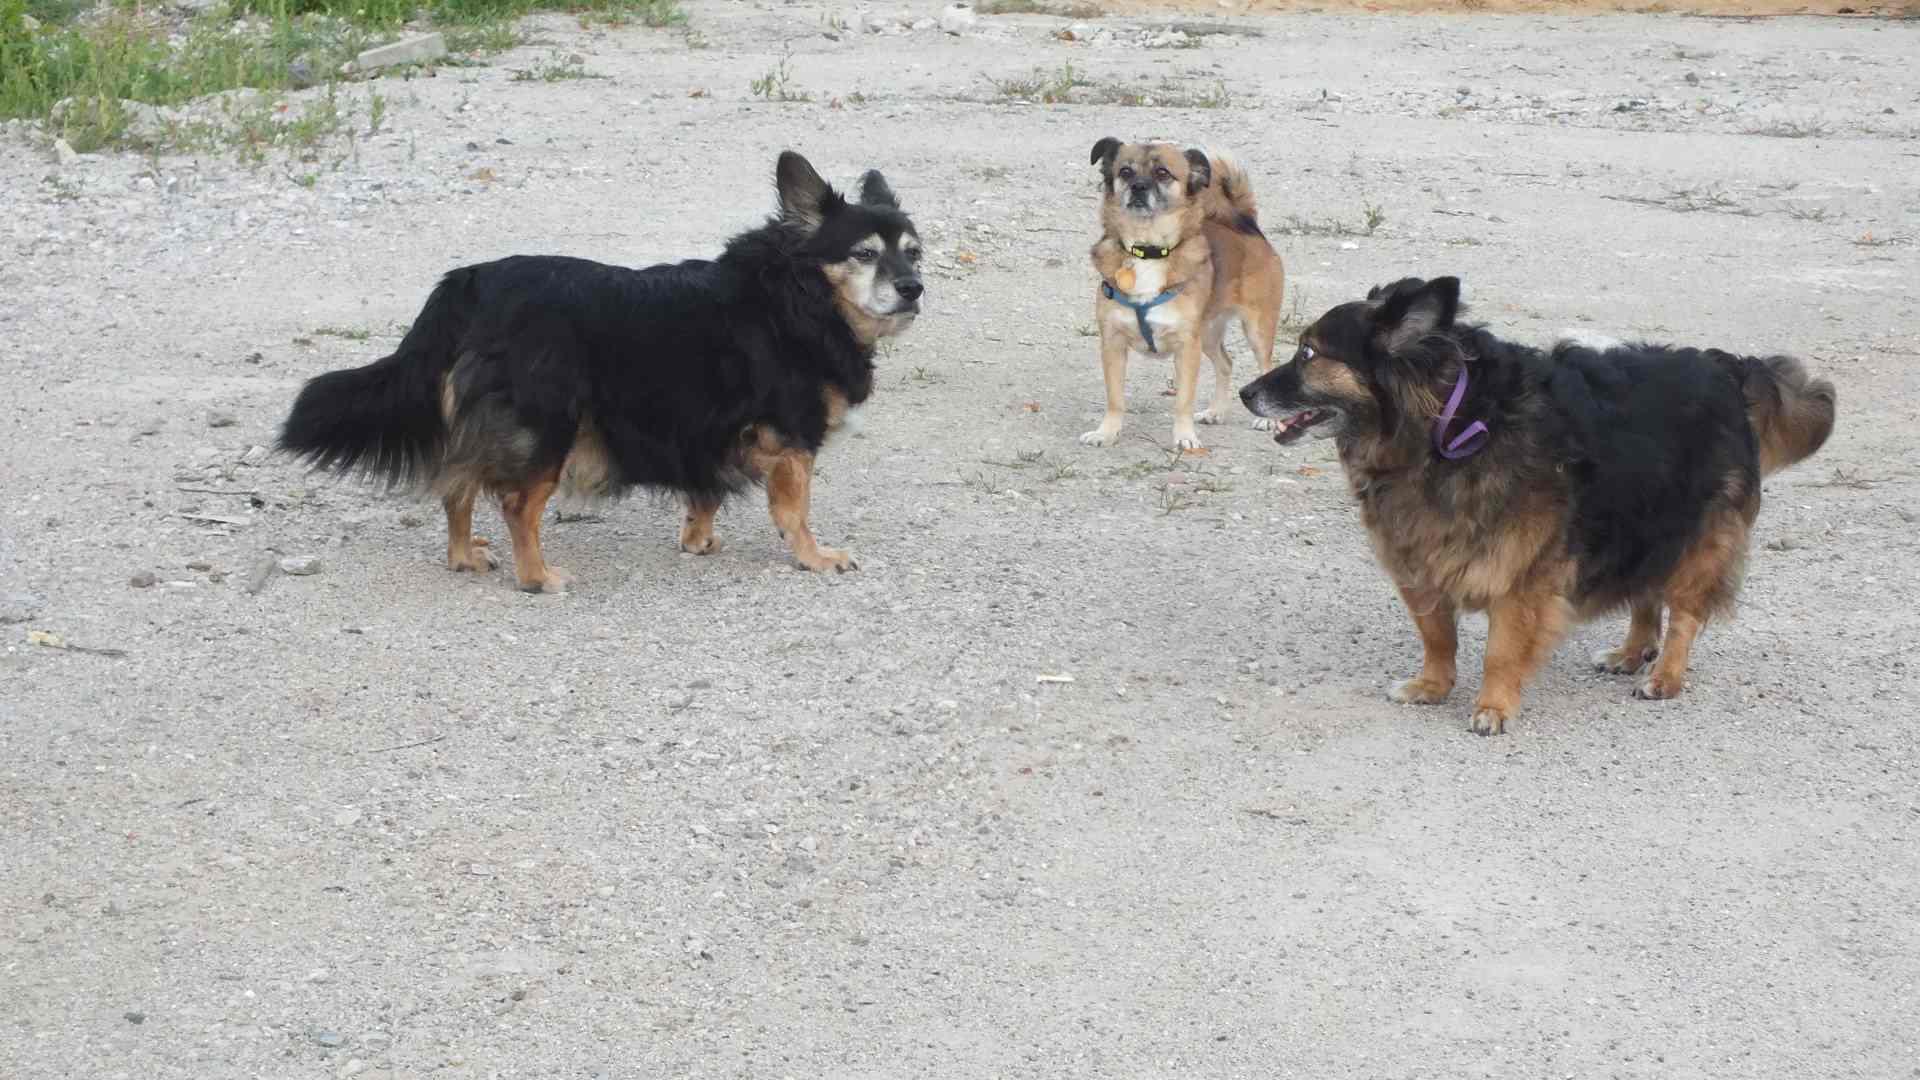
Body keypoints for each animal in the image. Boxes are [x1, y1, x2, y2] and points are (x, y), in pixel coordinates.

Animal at [278, 151, 922, 591]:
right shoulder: (790, 441)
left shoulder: (703, 427)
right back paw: (537, 577)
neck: (798, 297)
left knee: (456, 485)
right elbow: (794, 512)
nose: (914, 288)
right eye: (865, 254)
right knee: (515, 504)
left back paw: (463, 557)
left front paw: (697, 540)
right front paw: (815, 556)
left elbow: (705, 493)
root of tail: (470, 283)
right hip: (549, 425)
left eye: (914, 252)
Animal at [1082, 138, 1285, 451]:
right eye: (1125, 171)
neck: (1147, 250)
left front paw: (1185, 437)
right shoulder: (1113, 344)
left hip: (1256, 330)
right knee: (1226, 363)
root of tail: (1248, 224)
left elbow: (1183, 401)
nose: (1138, 187)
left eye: (1163, 173)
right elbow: (1115, 398)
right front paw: (1106, 432)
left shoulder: (1186, 347)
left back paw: (1267, 421)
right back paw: (1215, 412)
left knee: (1264, 365)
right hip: (1209, 333)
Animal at [1240, 276, 1836, 735]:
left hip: (1695, 536)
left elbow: (1500, 651)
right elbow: (1438, 635)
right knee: (1645, 597)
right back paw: (1630, 653)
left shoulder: (1520, 576)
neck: (1449, 429)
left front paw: (1493, 707)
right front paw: (1432, 686)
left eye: (1309, 353)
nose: (1246, 393)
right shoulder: (1420, 563)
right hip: (1639, 522)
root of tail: (1725, 367)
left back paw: (1664, 675)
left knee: (1684, 612)